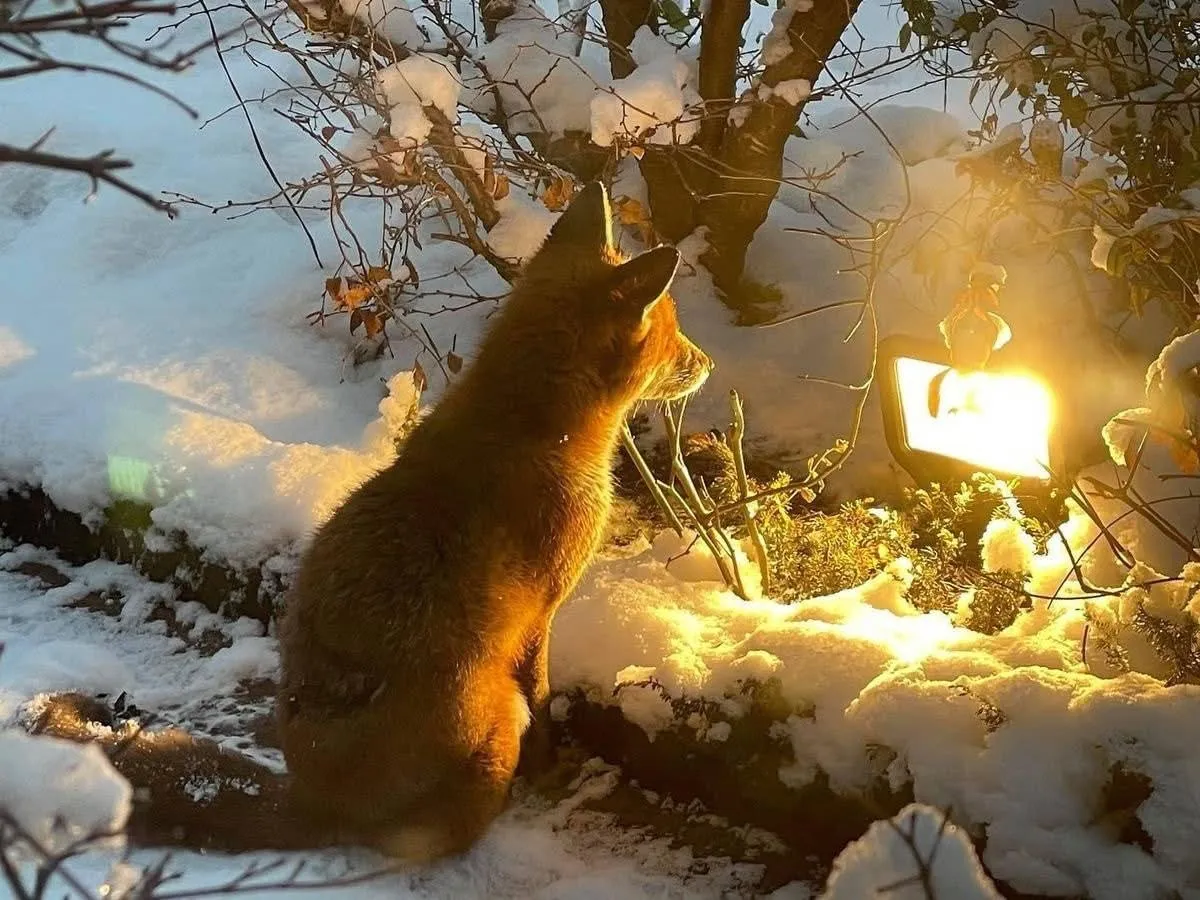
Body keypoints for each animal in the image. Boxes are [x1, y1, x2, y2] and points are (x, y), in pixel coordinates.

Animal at [26, 181, 713, 863]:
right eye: (675, 333)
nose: (707, 362)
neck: (537, 431)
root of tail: (315, 799)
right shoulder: (540, 617)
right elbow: (542, 701)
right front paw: (553, 769)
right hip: (493, 718)